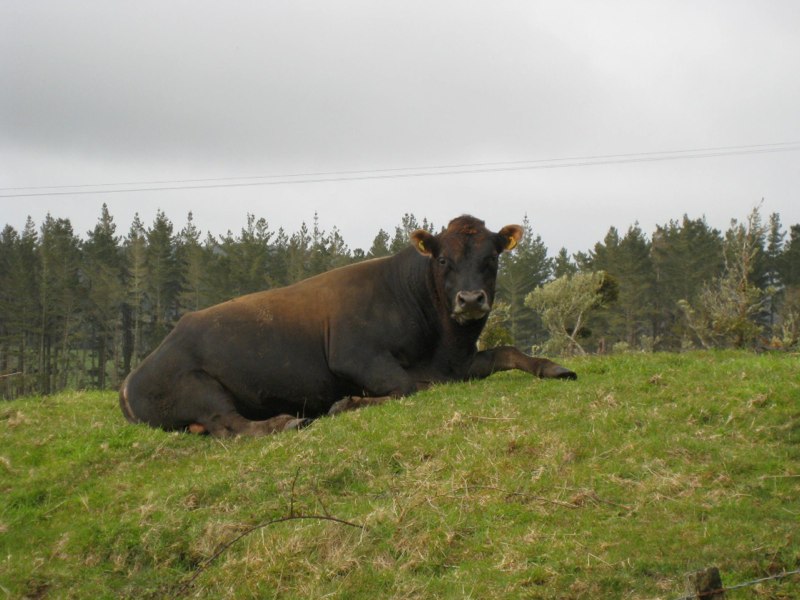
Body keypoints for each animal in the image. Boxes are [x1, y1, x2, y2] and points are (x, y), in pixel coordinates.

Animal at [119, 215, 576, 437]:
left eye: (492, 258)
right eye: (443, 259)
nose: (470, 300)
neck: (444, 344)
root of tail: (131, 379)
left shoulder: (461, 362)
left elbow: (508, 352)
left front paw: (554, 368)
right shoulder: (354, 356)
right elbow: (408, 387)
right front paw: (349, 403)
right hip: (198, 387)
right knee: (229, 425)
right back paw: (286, 422)